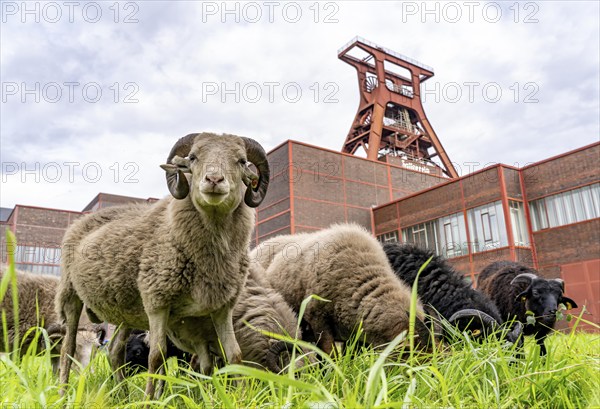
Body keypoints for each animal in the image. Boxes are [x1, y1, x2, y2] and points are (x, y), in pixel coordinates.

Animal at [55, 132, 270, 396]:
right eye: (193, 157)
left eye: (241, 161)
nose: (213, 179)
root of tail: (83, 220)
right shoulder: (157, 302)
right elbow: (156, 357)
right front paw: (149, 400)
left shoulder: (222, 307)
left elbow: (235, 356)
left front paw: (240, 398)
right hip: (70, 294)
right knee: (67, 349)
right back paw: (63, 394)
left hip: (126, 309)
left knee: (114, 351)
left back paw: (121, 396)